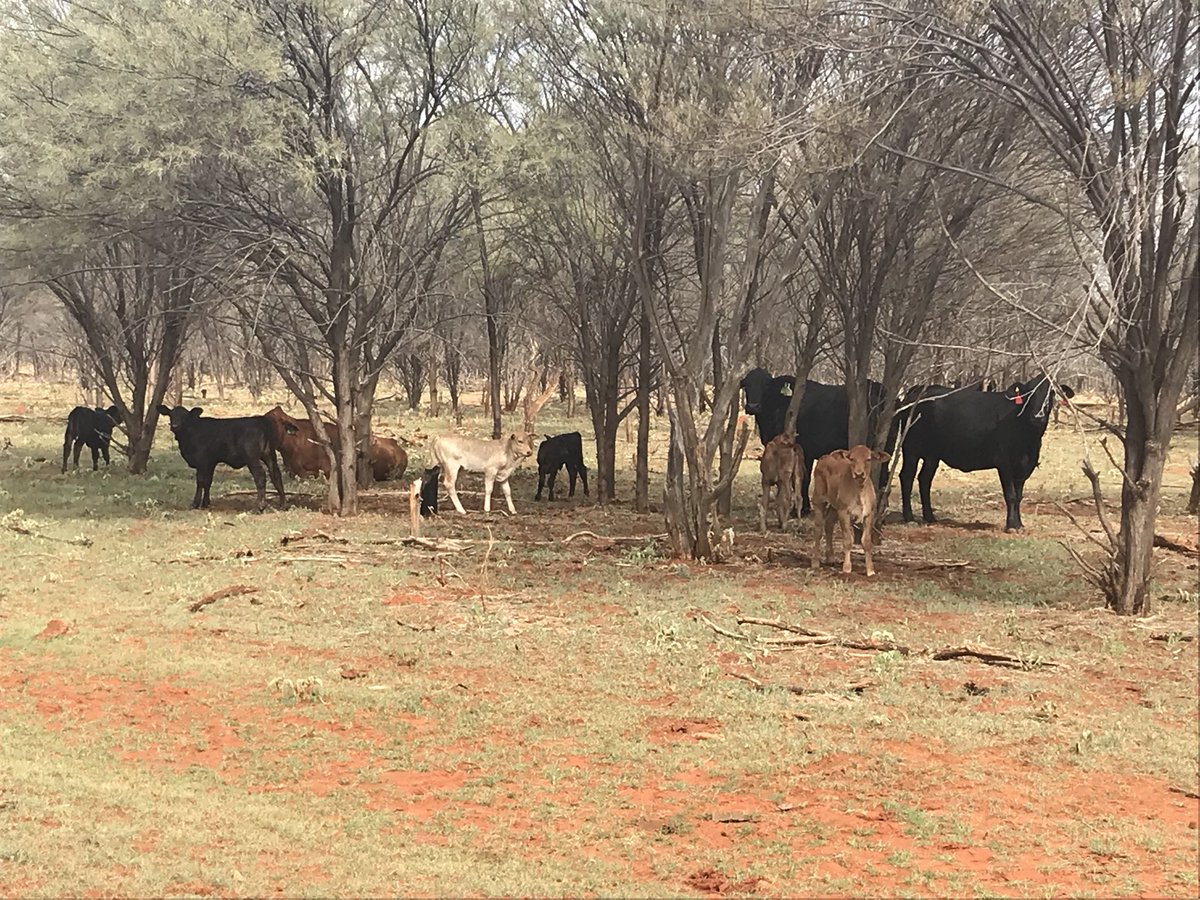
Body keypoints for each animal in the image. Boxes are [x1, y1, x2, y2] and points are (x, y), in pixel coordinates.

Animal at [156, 405, 285, 511]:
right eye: (171, 414)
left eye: (185, 416)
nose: (175, 426)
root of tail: (260, 420)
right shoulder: (211, 462)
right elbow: (208, 482)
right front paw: (206, 503)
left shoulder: (202, 461)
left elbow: (200, 481)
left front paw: (195, 504)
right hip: (270, 455)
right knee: (276, 475)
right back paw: (282, 505)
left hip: (252, 458)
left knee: (260, 477)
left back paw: (260, 506)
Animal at [739, 368, 894, 516]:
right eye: (746, 385)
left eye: (765, 385)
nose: (753, 406)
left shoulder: (802, 452)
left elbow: (801, 480)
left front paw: (800, 509)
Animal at [810, 445, 891, 577]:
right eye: (852, 459)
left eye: (868, 459)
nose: (859, 474)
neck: (859, 492)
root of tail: (825, 457)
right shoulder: (844, 512)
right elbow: (848, 540)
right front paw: (847, 568)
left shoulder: (869, 514)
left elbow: (866, 542)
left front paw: (870, 570)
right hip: (818, 500)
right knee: (818, 529)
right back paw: (815, 562)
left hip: (834, 507)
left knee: (829, 525)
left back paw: (830, 558)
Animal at [897, 376, 1074, 532]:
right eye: (1028, 393)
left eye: (1051, 393)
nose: (1038, 416)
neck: (1028, 440)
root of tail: (920, 389)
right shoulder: (1004, 463)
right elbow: (1010, 495)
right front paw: (1011, 526)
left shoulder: (1024, 466)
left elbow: (1018, 497)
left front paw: (1019, 524)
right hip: (910, 448)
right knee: (907, 477)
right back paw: (909, 518)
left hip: (932, 455)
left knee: (924, 479)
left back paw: (929, 517)